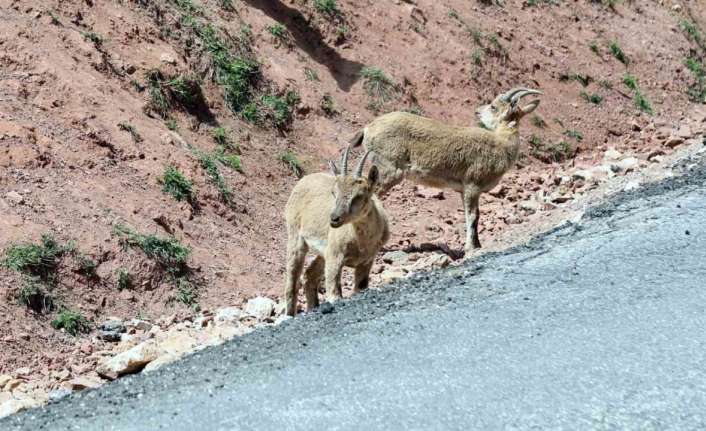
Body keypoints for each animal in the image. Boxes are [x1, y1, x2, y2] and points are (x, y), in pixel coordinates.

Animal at [282, 149, 390, 318]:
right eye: (334, 192)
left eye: (359, 195)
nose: (334, 219)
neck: (361, 242)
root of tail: (303, 180)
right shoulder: (335, 255)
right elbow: (335, 294)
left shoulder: (367, 260)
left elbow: (360, 287)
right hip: (296, 236)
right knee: (292, 280)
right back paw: (290, 315)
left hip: (323, 252)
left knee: (309, 275)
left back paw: (313, 307)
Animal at [346, 88, 540, 256]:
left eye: (493, 107)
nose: (477, 111)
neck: (501, 144)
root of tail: (368, 129)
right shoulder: (472, 185)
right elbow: (473, 216)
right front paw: (470, 247)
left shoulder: (463, 190)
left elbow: (472, 215)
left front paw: (476, 244)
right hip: (389, 170)